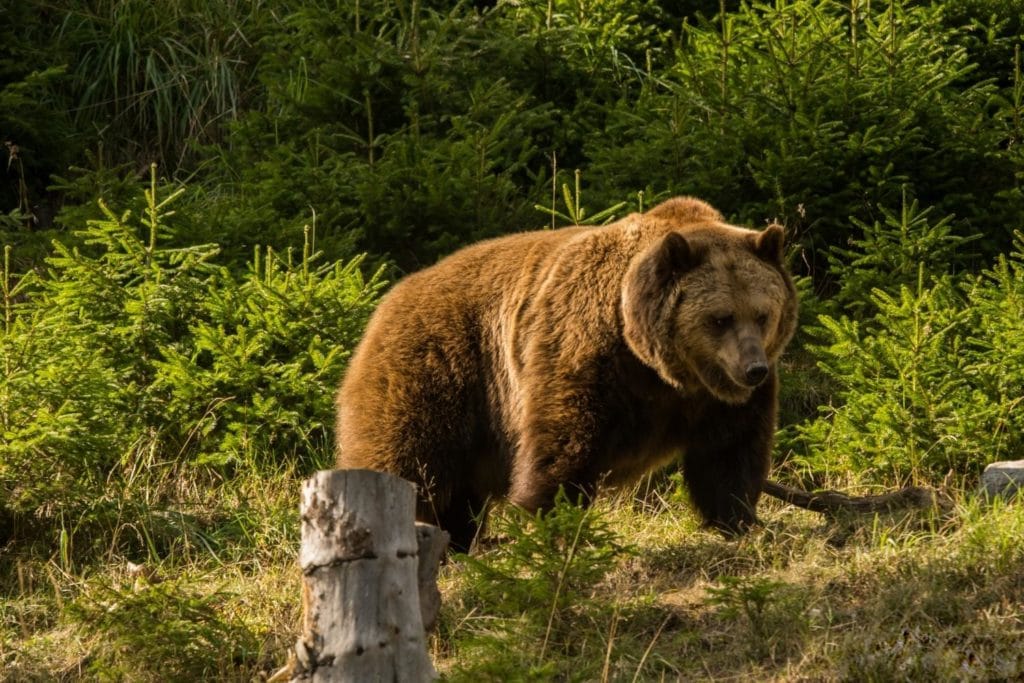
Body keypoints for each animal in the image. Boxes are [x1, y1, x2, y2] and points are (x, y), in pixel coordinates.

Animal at [335, 197, 798, 551]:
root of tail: (387, 299)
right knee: (407, 460)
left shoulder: (717, 400)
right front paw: (548, 523)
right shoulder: (586, 354)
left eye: (762, 314)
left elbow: (729, 454)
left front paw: (739, 521)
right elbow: (562, 446)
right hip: (439, 372)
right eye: (720, 318)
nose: (753, 369)